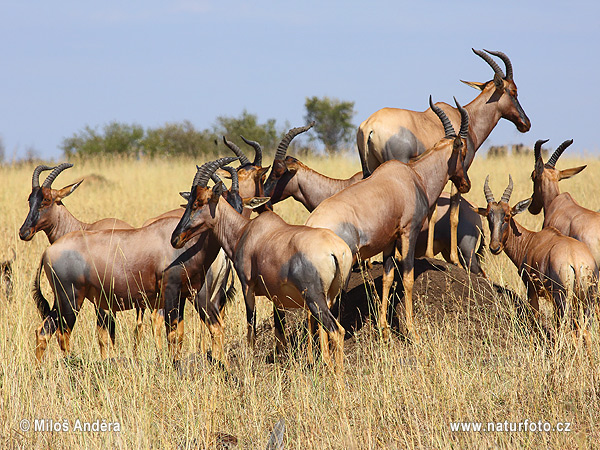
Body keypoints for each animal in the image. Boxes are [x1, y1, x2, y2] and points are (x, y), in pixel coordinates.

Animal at [31, 156, 248, 364]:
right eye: (191, 203)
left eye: (198, 202)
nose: (176, 239)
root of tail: (48, 251)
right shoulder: (171, 292)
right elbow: (172, 335)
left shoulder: (183, 295)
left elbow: (180, 334)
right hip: (71, 299)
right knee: (61, 333)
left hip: (62, 300)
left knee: (43, 331)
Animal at [171, 155, 354, 372]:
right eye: (189, 201)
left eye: (199, 202)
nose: (176, 238)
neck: (246, 231)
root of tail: (336, 250)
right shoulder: (276, 296)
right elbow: (279, 327)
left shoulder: (247, 287)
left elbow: (251, 325)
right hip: (330, 297)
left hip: (315, 298)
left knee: (337, 330)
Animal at [308, 96, 472, 342]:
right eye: (461, 152)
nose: (465, 184)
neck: (411, 176)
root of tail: (312, 225)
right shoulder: (408, 233)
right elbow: (407, 277)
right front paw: (412, 331)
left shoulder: (389, 240)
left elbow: (387, 278)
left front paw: (384, 328)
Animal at [356, 49, 528, 266]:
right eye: (513, 91)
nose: (525, 123)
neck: (464, 118)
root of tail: (369, 125)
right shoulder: (458, 173)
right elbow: (452, 212)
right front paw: (452, 259)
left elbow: (433, 211)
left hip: (369, 168)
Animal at [476, 176, 596, 348]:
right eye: (488, 215)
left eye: (507, 215)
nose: (494, 247)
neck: (531, 240)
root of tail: (575, 260)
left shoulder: (531, 290)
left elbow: (535, 321)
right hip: (586, 299)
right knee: (585, 331)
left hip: (562, 298)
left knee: (568, 329)